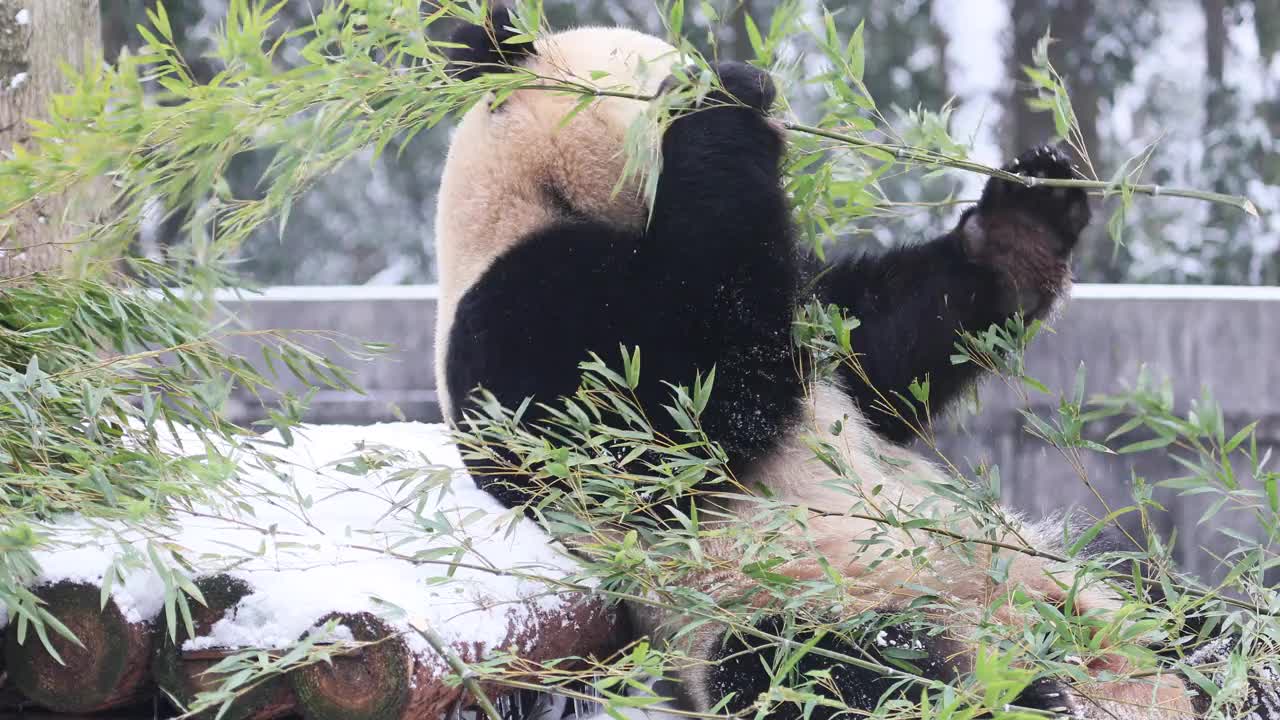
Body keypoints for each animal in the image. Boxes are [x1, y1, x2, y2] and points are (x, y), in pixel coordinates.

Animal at [432, 7, 1269, 717]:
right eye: (680, 65)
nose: (767, 85)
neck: (538, 193)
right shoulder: (524, 317)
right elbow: (680, 406)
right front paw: (724, 106)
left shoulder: (815, 307)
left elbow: (883, 353)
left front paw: (1026, 216)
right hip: (777, 603)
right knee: (838, 670)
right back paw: (1019, 693)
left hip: (1074, 571)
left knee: (1194, 610)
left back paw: (1230, 665)